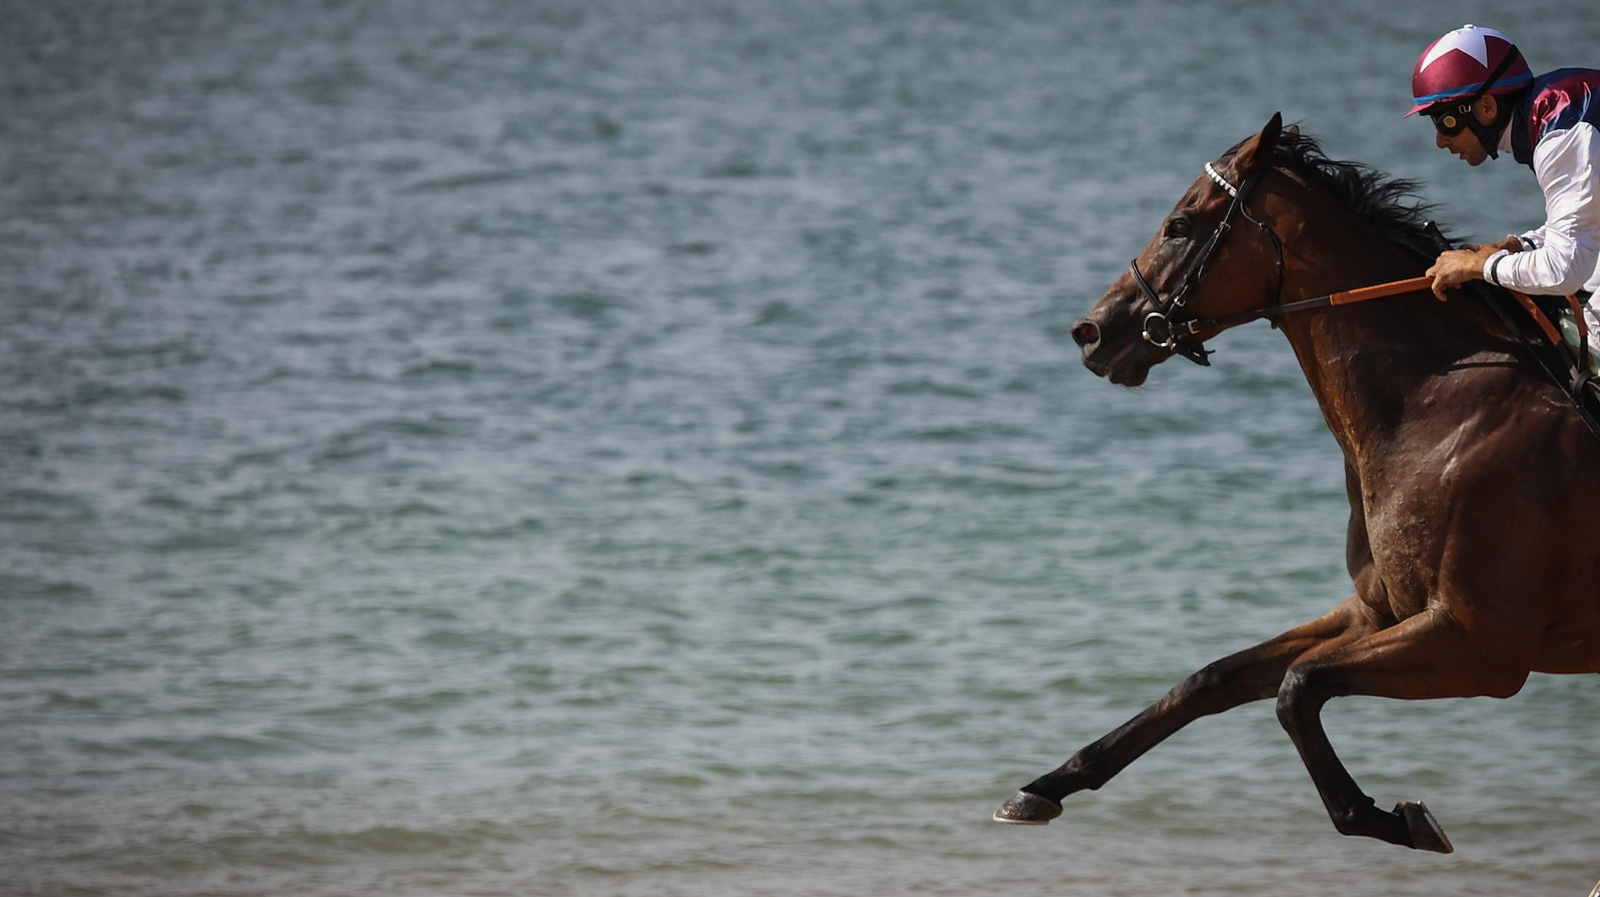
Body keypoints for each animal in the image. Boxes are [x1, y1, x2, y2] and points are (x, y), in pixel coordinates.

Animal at [991, 113, 1600, 853]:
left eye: (1180, 224)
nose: (1092, 331)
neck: (1439, 406)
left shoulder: (1480, 645)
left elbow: (1296, 686)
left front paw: (1387, 817)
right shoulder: (1378, 610)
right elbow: (1212, 678)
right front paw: (1045, 784)